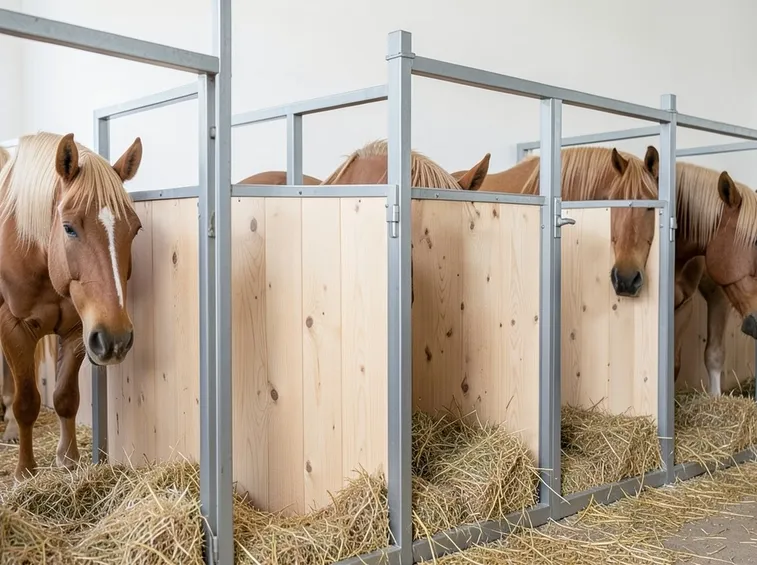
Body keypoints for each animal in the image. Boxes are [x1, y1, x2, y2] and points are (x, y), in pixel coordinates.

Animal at [0, 131, 143, 481]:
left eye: (135, 229)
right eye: (68, 227)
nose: (117, 339)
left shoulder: (80, 329)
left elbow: (65, 398)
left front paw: (69, 460)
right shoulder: (13, 326)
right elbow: (27, 402)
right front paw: (25, 471)